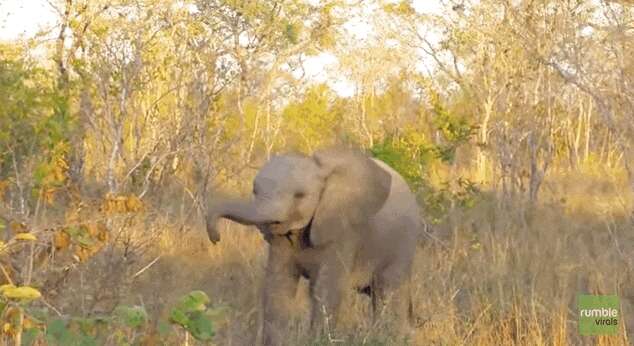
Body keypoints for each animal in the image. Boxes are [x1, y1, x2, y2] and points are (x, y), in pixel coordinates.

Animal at [205, 147, 420, 344]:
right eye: (255, 191)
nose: (216, 238)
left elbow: (325, 291)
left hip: (402, 243)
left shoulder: (344, 231)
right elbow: (278, 286)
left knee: (389, 293)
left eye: (299, 196)